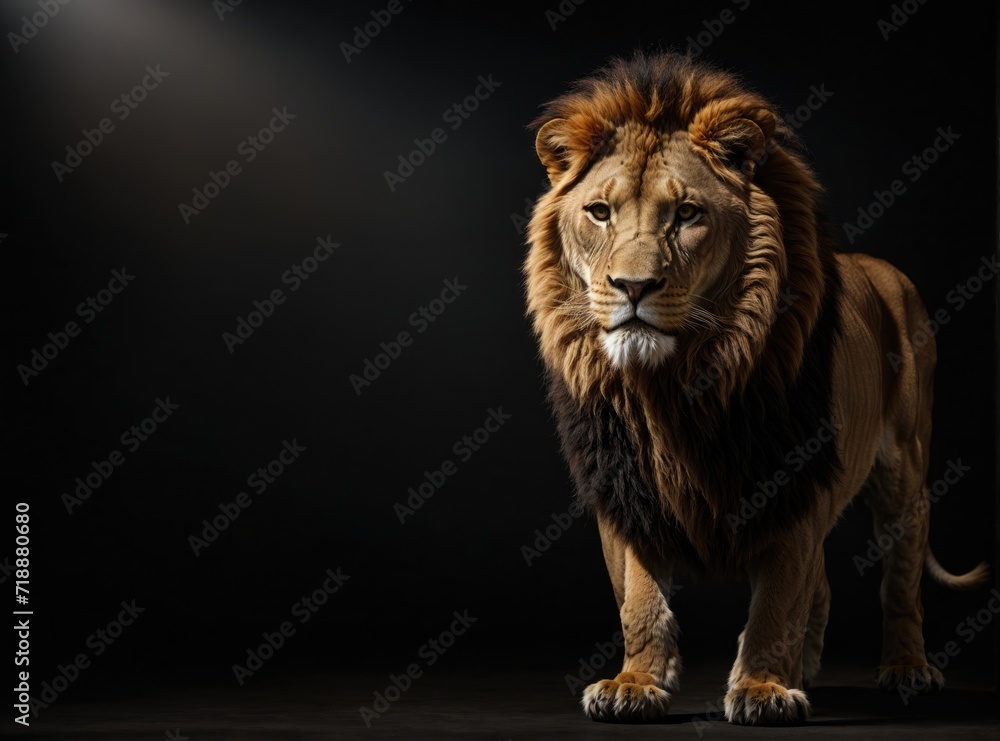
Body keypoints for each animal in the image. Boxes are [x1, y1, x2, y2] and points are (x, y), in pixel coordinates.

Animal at [523, 52, 989, 726]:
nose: (633, 287)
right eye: (600, 212)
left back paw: (905, 669)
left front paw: (763, 689)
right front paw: (635, 683)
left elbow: (777, 600)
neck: (672, 388)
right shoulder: (623, 486)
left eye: (687, 213)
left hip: (905, 471)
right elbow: (638, 597)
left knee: (899, 580)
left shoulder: (794, 481)